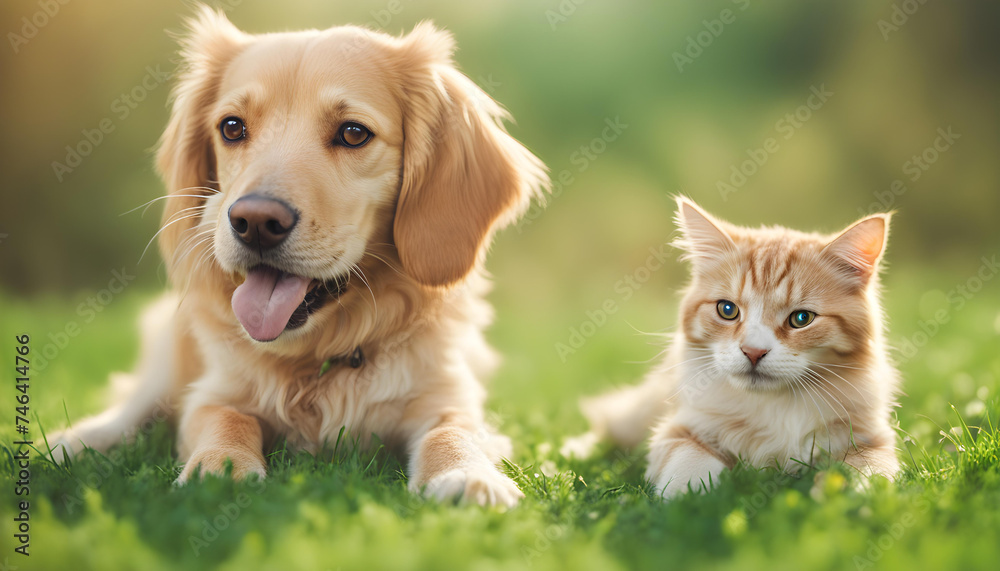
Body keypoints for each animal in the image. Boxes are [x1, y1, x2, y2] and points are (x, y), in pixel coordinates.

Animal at [47, 6, 548, 508]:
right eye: (232, 127)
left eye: (353, 133)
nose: (254, 222)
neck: (319, 358)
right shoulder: (213, 392)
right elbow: (226, 417)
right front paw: (220, 468)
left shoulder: (449, 395)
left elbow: (452, 431)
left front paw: (466, 474)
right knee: (135, 405)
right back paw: (76, 441)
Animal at [568, 197, 904, 496]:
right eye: (727, 310)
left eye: (801, 318)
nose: (753, 352)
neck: (774, 407)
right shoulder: (679, 429)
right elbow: (689, 466)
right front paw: (688, 501)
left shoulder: (872, 439)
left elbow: (869, 476)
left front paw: (852, 498)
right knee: (611, 422)